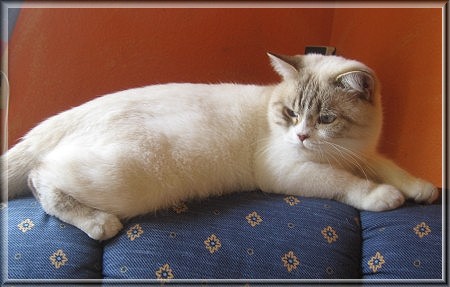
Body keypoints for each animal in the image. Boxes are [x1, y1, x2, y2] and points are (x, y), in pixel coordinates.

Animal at [2, 53, 440, 241]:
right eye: (291, 113)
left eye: (326, 119)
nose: (301, 136)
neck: (340, 150)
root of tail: (67, 116)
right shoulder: (291, 170)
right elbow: (348, 184)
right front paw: (385, 197)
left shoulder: (363, 154)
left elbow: (393, 168)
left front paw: (422, 190)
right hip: (121, 181)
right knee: (41, 177)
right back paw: (99, 224)